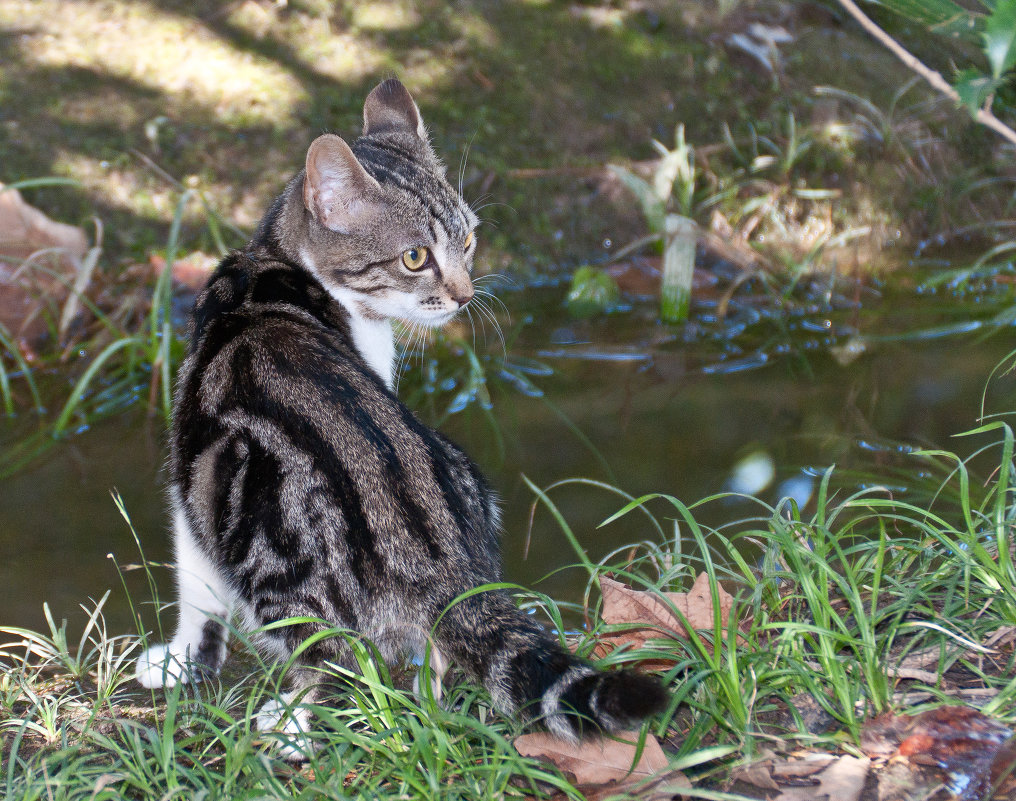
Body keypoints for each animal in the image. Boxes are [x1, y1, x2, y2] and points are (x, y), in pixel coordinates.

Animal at [135, 78, 666, 760]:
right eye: (415, 257)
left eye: (466, 239)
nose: (466, 295)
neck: (277, 263)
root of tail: (441, 564)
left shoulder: (191, 470)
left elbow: (197, 584)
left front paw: (182, 658)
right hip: (467, 478)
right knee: (422, 659)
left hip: (275, 558)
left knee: (336, 661)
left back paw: (292, 723)